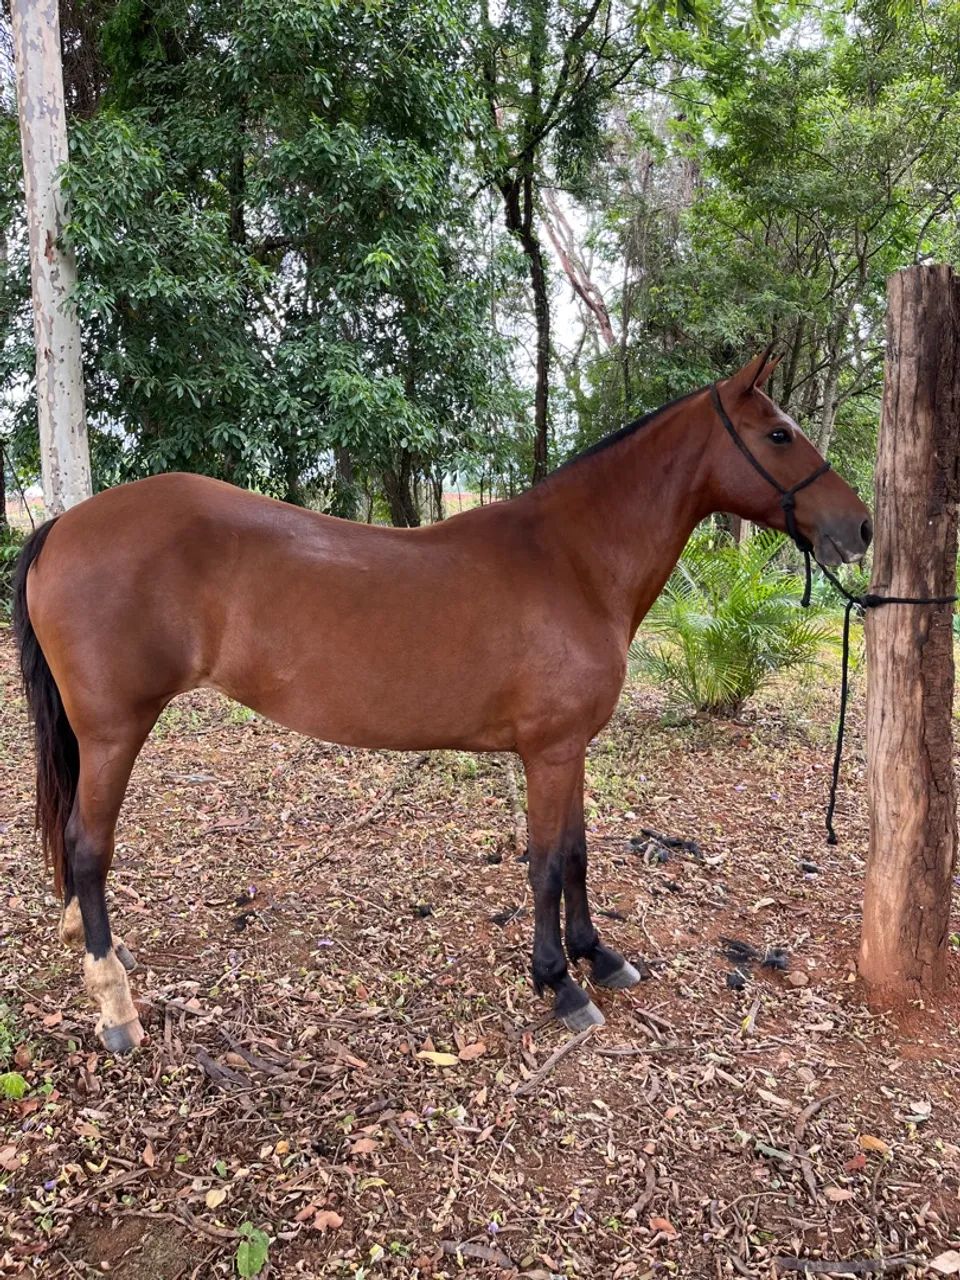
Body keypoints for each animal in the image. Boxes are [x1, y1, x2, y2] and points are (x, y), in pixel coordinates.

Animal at [12, 351, 872, 1053]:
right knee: (87, 848)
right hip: (115, 731)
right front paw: (559, 981)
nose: (859, 527)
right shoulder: (548, 752)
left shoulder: (571, 749)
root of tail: (64, 524)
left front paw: (600, 955)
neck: (573, 561)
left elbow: (578, 852)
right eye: (780, 435)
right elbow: (547, 863)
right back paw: (116, 1007)